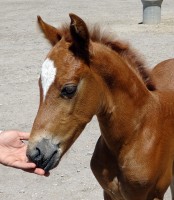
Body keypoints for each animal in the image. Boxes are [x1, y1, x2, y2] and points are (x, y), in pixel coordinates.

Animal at [26, 14, 173, 200]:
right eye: (40, 85)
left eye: (69, 89)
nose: (35, 153)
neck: (136, 133)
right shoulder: (108, 193)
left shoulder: (152, 195)